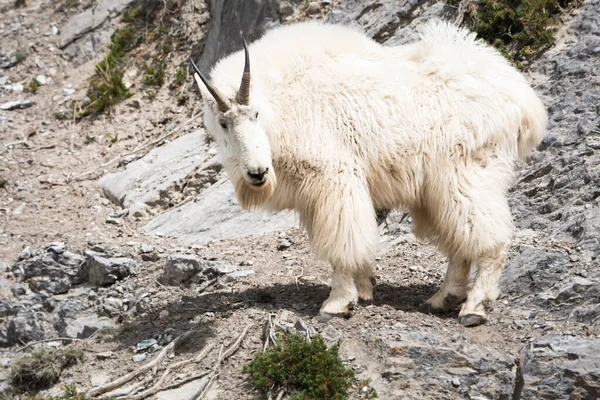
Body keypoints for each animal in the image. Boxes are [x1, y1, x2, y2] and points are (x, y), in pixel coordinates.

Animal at [190, 18, 548, 326]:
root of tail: (520, 99)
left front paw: (337, 303)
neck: (286, 104)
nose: (258, 172)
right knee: (460, 240)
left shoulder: (335, 179)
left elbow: (342, 243)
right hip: (438, 187)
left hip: (468, 173)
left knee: (488, 238)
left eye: (255, 114)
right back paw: (442, 299)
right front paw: (364, 290)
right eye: (223, 124)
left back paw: (474, 307)